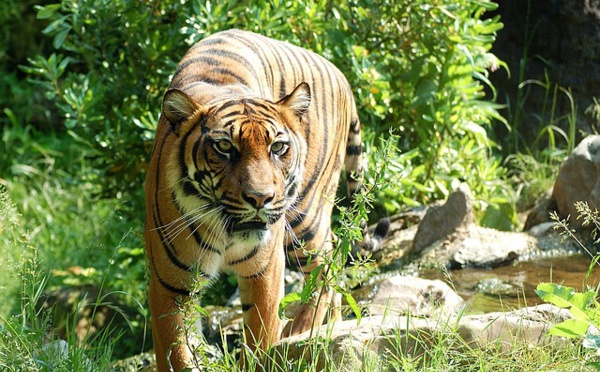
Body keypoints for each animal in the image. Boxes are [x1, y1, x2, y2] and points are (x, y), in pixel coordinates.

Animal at [145, 29, 390, 372]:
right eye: (224, 147)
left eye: (277, 147)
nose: (260, 197)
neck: (225, 232)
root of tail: (341, 74)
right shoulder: (169, 284)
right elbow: (176, 353)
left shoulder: (265, 270)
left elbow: (261, 336)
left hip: (304, 215)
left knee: (325, 263)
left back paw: (302, 330)